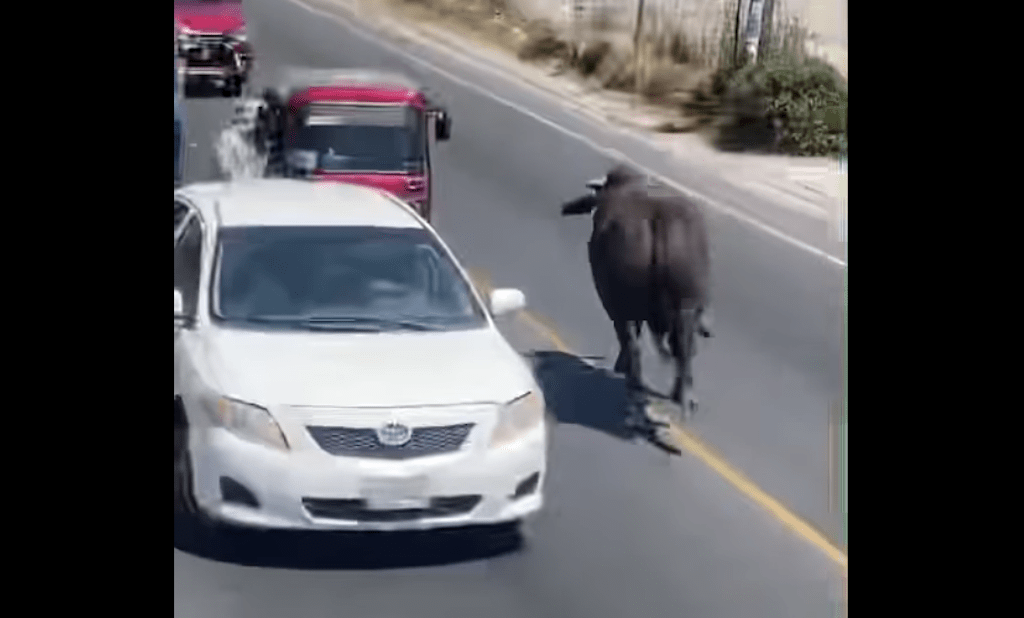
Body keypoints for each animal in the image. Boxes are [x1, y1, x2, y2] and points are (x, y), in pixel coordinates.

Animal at [561, 165, 712, 419]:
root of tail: (659, 217)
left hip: (623, 302)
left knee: (636, 343)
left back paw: (636, 383)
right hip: (685, 305)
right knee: (683, 349)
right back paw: (682, 396)